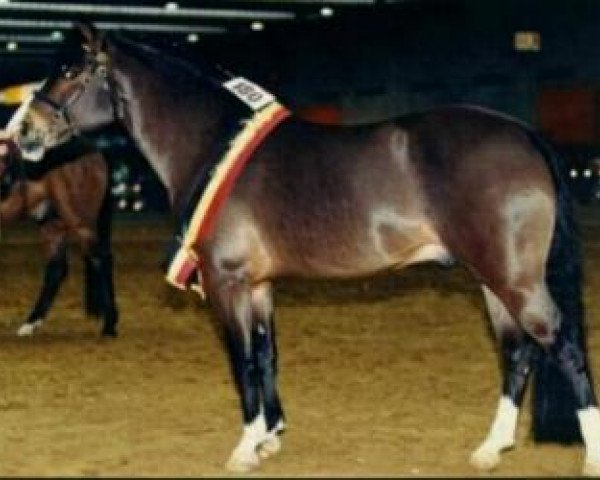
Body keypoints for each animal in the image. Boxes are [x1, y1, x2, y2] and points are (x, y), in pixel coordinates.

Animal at [0, 134, 118, 338]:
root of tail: (92, 149)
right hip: (52, 223)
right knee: (56, 269)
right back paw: (30, 324)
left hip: (80, 221)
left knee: (100, 260)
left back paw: (109, 326)